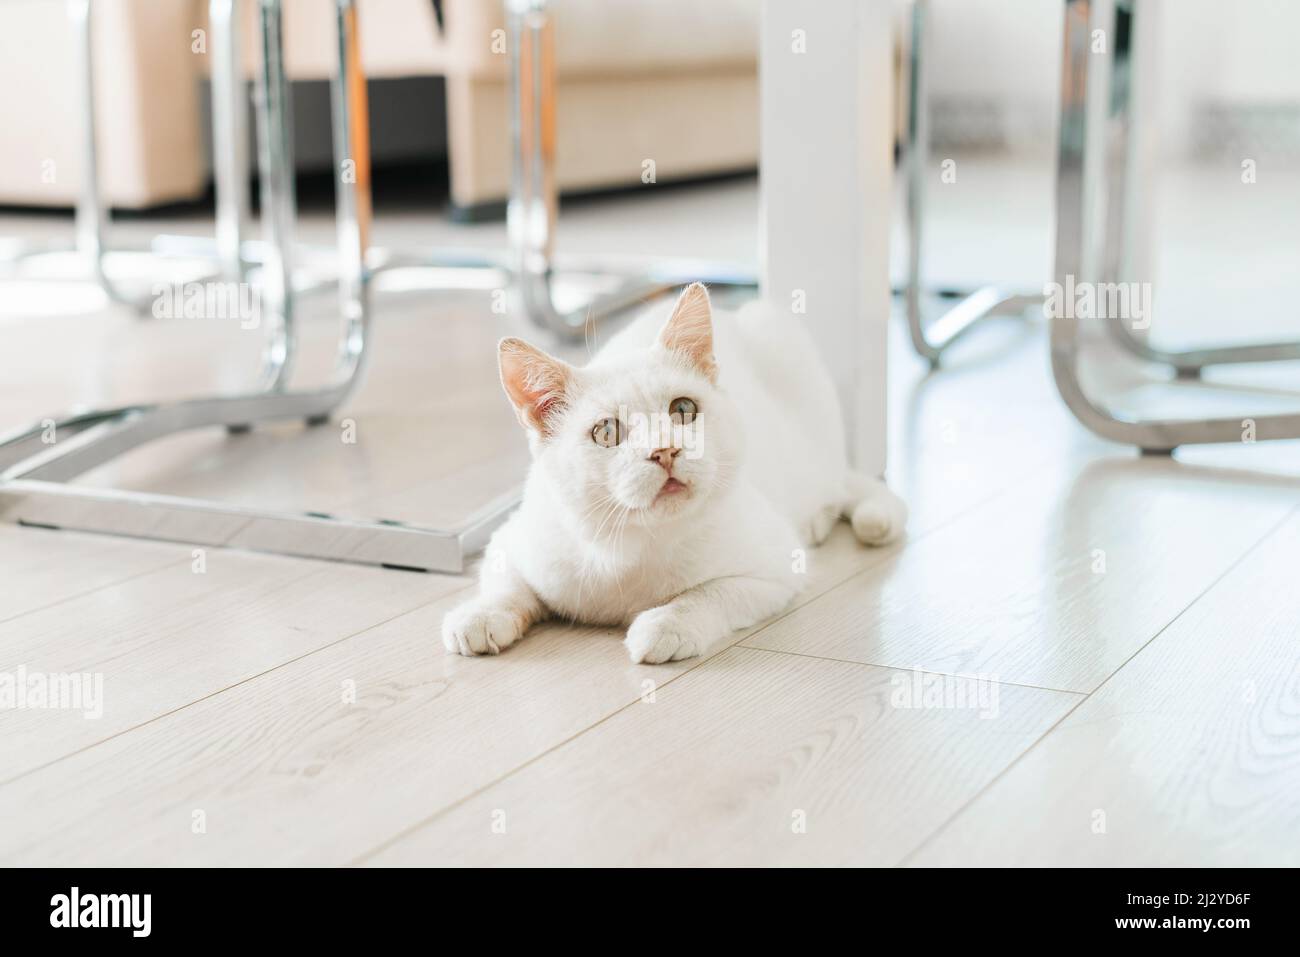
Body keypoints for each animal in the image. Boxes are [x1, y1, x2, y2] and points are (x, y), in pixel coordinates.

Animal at [441, 280, 909, 660]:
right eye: (606, 432)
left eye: (683, 409)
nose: (664, 451)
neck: (631, 548)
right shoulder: (512, 539)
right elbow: (506, 585)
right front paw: (480, 615)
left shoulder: (772, 571)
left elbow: (709, 593)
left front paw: (667, 623)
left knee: (835, 485)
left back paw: (817, 520)